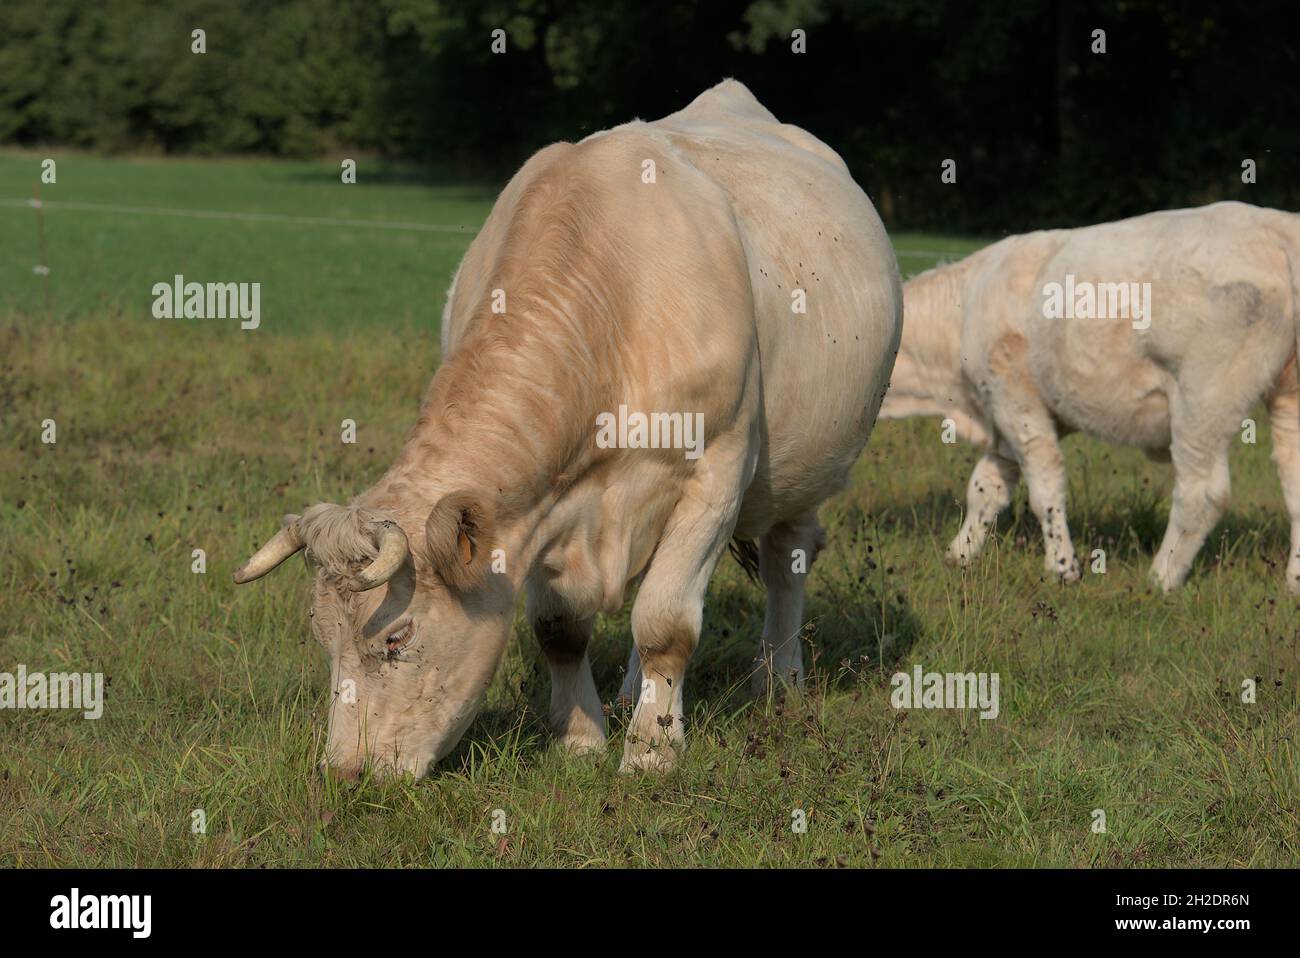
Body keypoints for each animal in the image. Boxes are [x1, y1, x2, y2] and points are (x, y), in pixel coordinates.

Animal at [233, 80, 903, 778]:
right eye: (321, 635)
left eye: (397, 636)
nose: (346, 771)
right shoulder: (534, 508)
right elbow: (561, 629)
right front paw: (581, 738)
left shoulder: (717, 470)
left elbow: (665, 622)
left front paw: (653, 750)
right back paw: (636, 693)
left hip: (807, 471)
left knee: (785, 560)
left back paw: (778, 682)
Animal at [880, 201, 1300, 592]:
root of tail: (1275, 225)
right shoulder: (1005, 419)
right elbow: (985, 489)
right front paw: (960, 554)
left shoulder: (1016, 401)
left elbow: (1044, 487)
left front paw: (1063, 567)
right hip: (1287, 398)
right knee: (1293, 479)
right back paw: (1294, 584)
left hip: (1203, 400)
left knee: (1203, 493)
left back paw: (1161, 578)